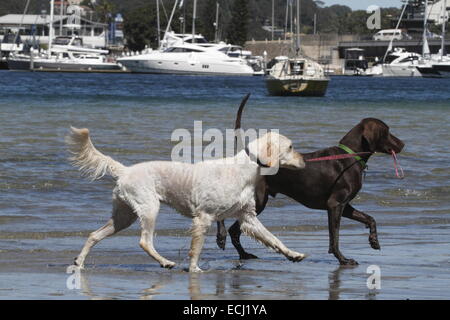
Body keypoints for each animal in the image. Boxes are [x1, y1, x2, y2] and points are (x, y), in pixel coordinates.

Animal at [66, 126, 306, 272]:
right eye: (291, 147)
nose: (304, 161)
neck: (245, 170)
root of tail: (125, 170)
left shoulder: (248, 218)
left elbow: (274, 239)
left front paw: (293, 254)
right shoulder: (203, 218)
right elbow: (196, 249)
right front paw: (194, 269)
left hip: (123, 216)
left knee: (94, 235)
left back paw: (79, 262)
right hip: (149, 209)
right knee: (145, 241)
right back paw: (165, 262)